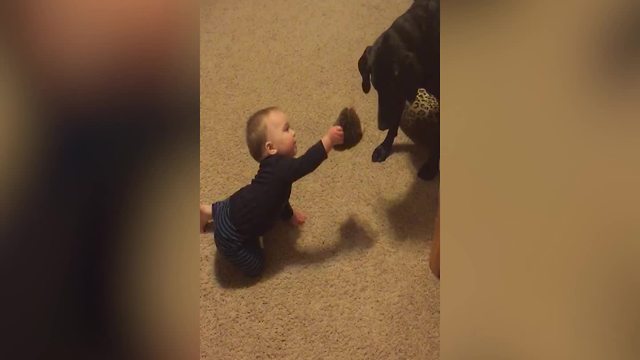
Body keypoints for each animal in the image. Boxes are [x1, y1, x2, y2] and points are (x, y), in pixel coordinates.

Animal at [358, 0, 438, 180]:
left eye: (393, 86)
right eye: (376, 87)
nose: (381, 126)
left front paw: (431, 166)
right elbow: (394, 121)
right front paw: (385, 147)